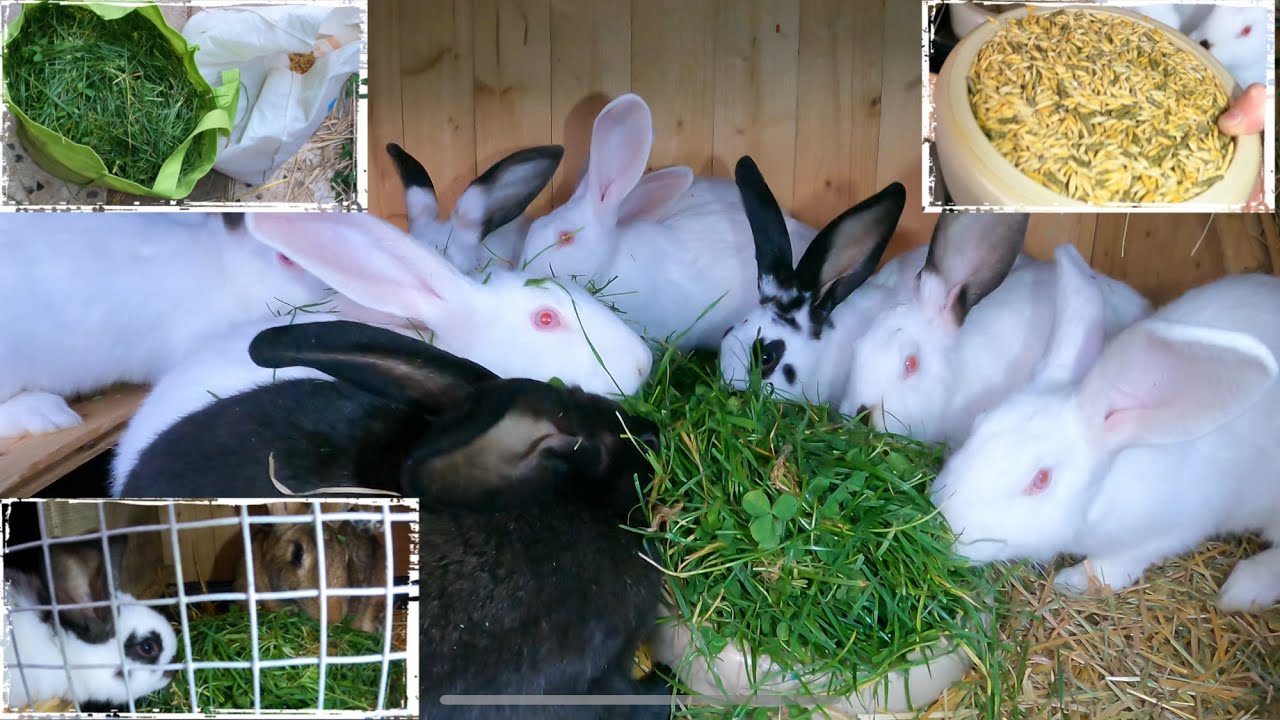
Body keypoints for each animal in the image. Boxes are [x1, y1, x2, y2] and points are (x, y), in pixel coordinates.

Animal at [930, 249, 1280, 613]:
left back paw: (1242, 589)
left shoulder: (1173, 530)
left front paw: (1073, 582)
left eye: (1041, 479)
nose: (943, 524)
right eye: (979, 423)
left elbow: (1113, 564)